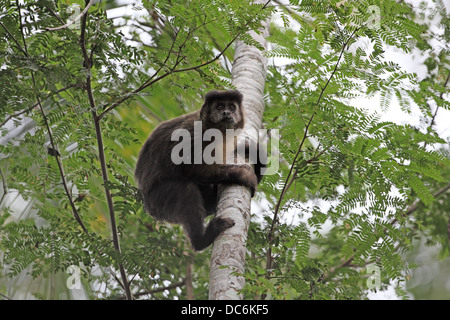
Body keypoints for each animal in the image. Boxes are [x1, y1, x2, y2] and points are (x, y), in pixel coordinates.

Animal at [135, 90, 266, 252]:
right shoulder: (195, 134)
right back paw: (201, 240)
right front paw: (243, 175)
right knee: (185, 190)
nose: (226, 112)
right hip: (158, 200)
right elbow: (193, 170)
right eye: (219, 106)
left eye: (232, 107)